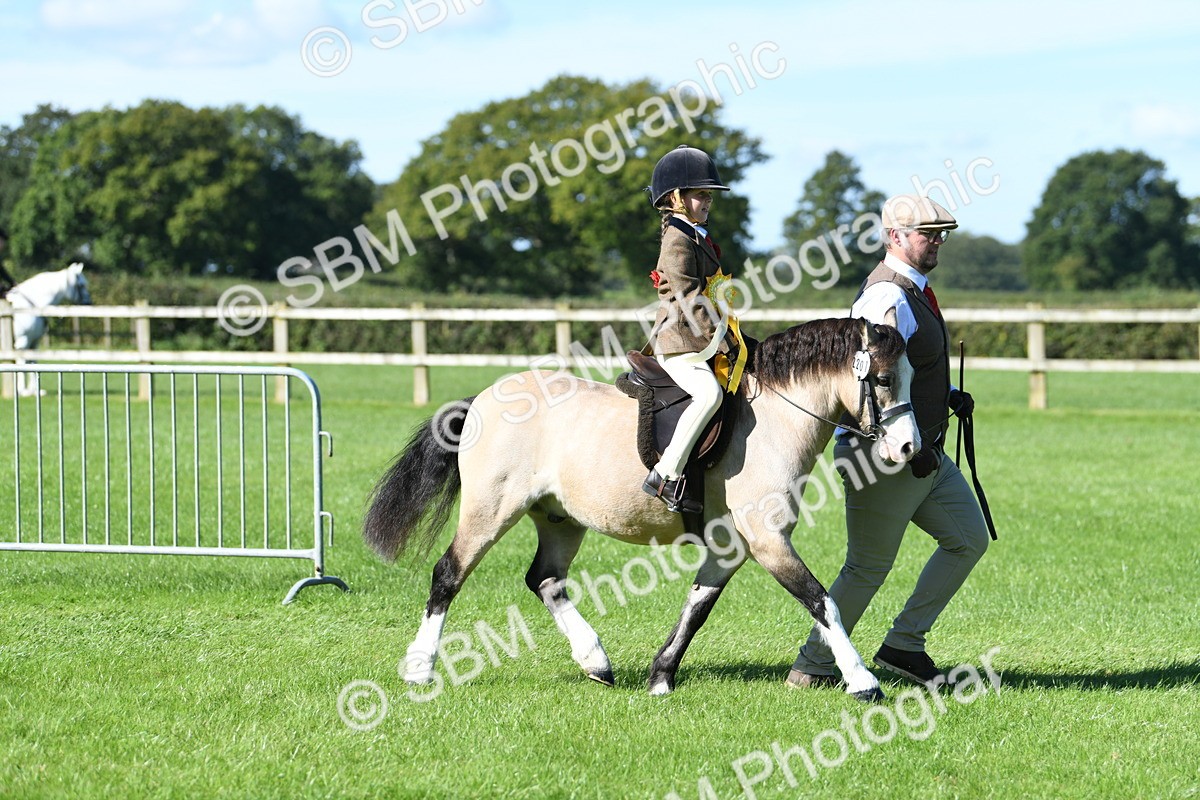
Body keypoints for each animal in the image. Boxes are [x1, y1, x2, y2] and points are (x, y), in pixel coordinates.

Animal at [4, 262, 92, 396]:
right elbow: (22, 363)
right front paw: (22, 390)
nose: (89, 302)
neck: (31, 306)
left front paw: (35, 390)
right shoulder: (23, 341)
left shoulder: (34, 342)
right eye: (81, 285)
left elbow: (32, 362)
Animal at [364, 314, 920, 702]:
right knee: (448, 574)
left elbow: (698, 607)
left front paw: (660, 677)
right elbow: (822, 601)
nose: (910, 448)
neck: (773, 417)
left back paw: (595, 661)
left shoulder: (732, 545)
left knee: (545, 580)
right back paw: (421, 668)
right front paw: (863, 681)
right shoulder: (767, 539)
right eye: (883, 380)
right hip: (491, 510)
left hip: (559, 519)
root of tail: (483, 398)